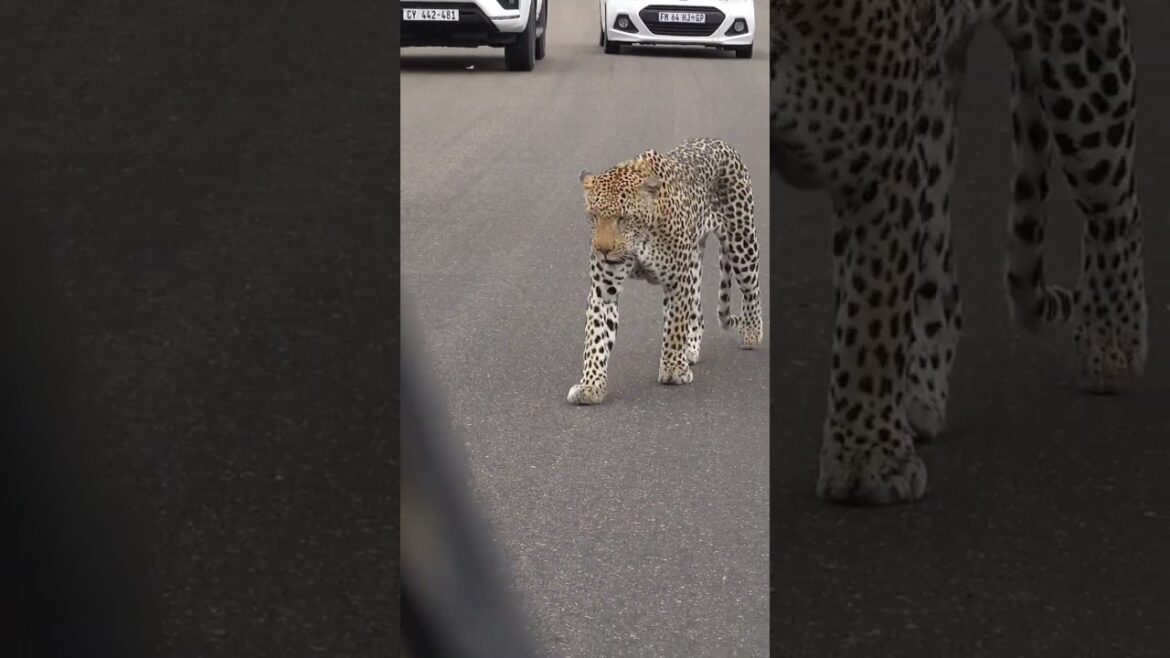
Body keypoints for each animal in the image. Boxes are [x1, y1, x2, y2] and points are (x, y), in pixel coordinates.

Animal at [566, 138, 763, 406]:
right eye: (593, 217)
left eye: (622, 219)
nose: (602, 250)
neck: (639, 240)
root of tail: (717, 142)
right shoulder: (603, 290)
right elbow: (596, 338)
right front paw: (591, 385)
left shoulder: (678, 280)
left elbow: (674, 326)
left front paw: (672, 370)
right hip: (695, 261)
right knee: (697, 312)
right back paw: (690, 350)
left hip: (741, 243)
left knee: (751, 289)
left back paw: (752, 333)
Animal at [771, 0, 1149, 504]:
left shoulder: (880, 165)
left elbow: (872, 323)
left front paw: (870, 458)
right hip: (930, 119)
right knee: (941, 290)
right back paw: (916, 396)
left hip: (1086, 70)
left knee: (1115, 209)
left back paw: (1112, 346)